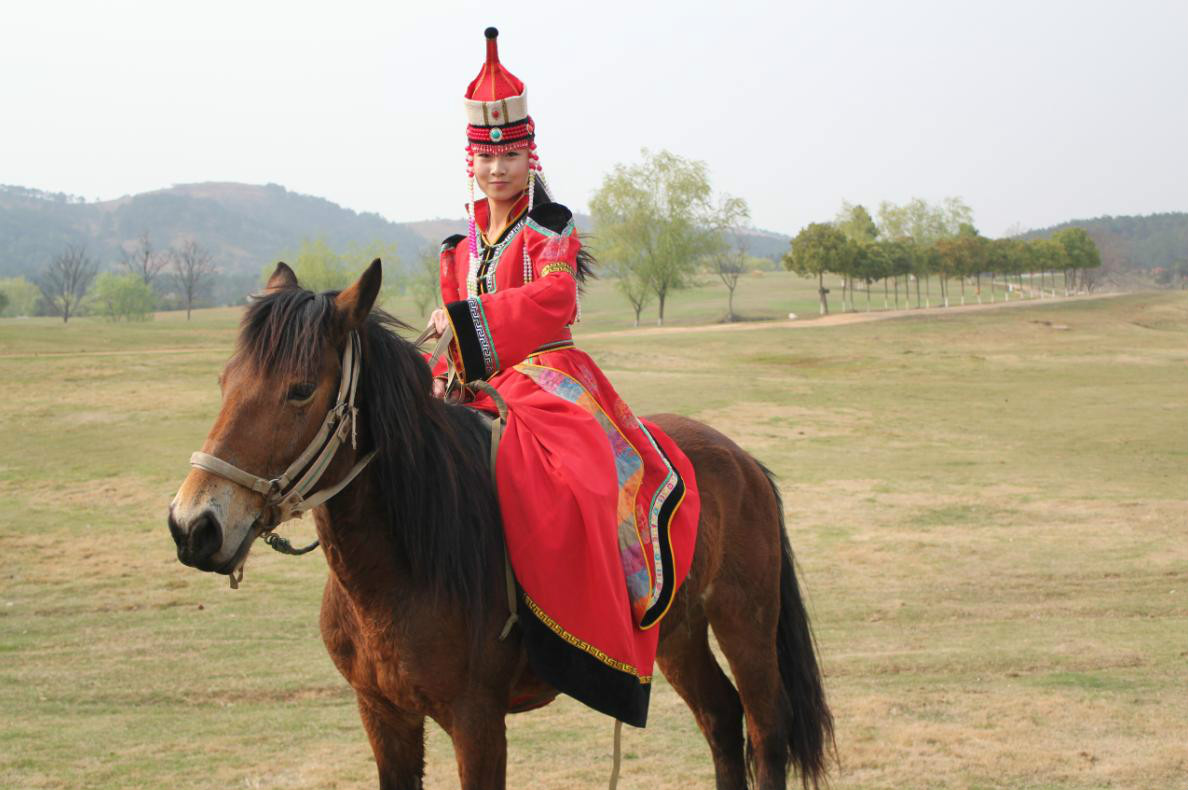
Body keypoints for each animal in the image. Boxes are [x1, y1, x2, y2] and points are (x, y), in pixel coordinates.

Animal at [167, 261, 836, 788]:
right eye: (225, 381)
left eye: (301, 390)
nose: (193, 526)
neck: (403, 566)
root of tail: (743, 461)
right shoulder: (383, 715)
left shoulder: (477, 721)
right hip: (678, 634)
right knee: (721, 722)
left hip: (745, 621)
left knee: (765, 731)